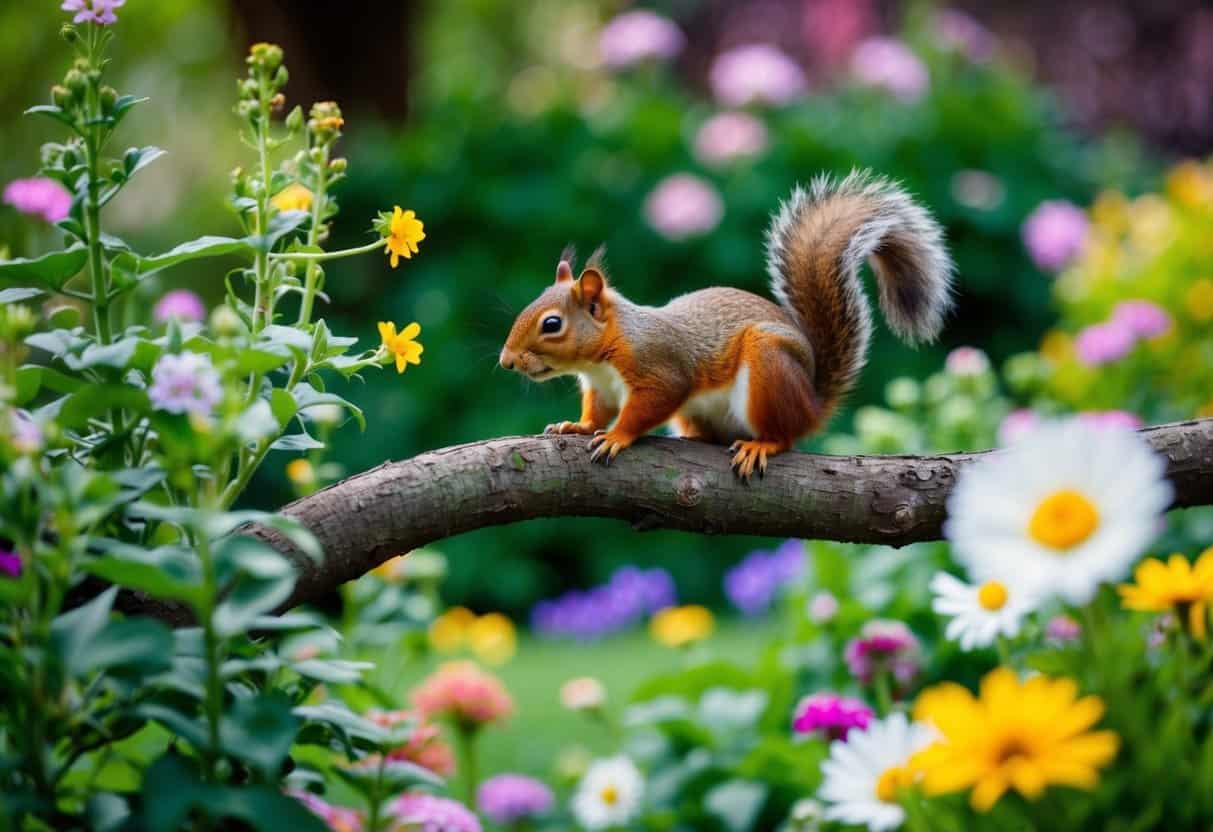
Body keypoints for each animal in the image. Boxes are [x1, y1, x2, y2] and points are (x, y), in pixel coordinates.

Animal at [499, 169, 955, 480]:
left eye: (552, 324)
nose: (506, 362)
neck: (605, 352)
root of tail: (812, 400)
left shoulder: (659, 368)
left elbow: (647, 406)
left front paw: (616, 436)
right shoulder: (602, 388)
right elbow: (599, 412)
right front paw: (577, 425)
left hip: (769, 367)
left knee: (786, 435)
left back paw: (762, 444)